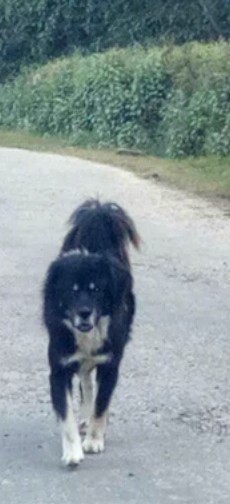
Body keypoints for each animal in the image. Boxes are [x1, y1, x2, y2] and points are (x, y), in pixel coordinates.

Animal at [43, 199, 139, 466]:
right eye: (72, 290)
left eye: (96, 290)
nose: (84, 312)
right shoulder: (59, 369)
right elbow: (67, 416)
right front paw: (73, 452)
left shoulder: (110, 365)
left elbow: (101, 405)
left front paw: (95, 440)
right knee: (86, 384)